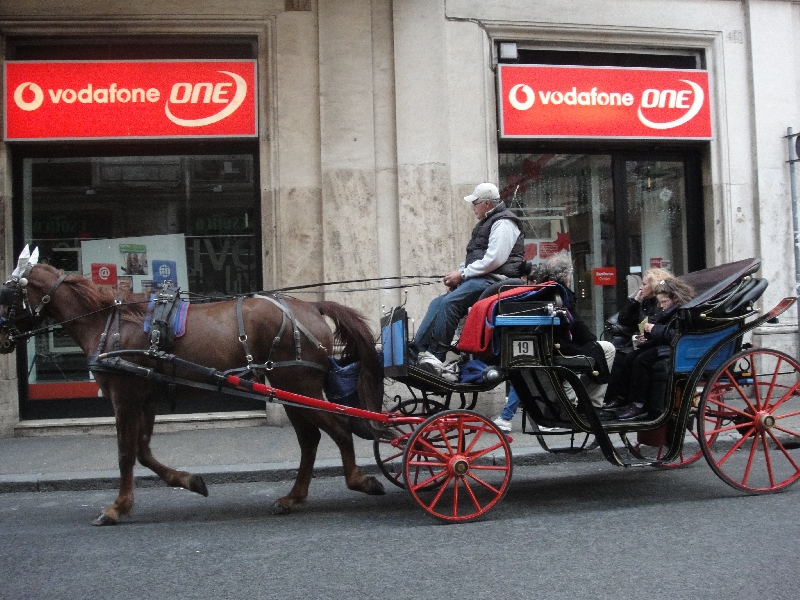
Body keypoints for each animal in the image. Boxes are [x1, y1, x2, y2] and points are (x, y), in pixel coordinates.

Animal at [0, 248, 388, 524]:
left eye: (6, 292)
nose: (2, 336)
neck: (109, 323)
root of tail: (310, 306)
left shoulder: (124, 397)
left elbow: (126, 453)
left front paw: (117, 507)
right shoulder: (147, 398)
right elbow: (142, 451)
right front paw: (189, 481)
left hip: (299, 384)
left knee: (339, 430)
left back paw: (359, 480)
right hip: (287, 387)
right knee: (310, 439)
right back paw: (294, 496)